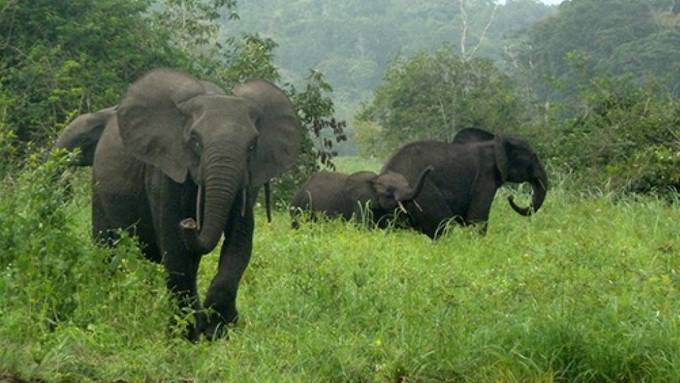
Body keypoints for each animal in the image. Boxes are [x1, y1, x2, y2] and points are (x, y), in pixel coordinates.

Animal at [54, 67, 304, 340]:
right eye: (195, 141)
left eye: (252, 146)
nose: (190, 223)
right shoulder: (165, 170)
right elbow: (175, 248)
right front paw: (188, 334)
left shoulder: (248, 181)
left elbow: (239, 241)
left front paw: (219, 329)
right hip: (100, 189)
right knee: (107, 248)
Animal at [290, 166, 432, 226]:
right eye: (389, 192)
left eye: (407, 184)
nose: (431, 168)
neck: (375, 179)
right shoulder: (359, 203)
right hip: (299, 209)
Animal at [382, 127, 548, 238]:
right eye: (533, 157)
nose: (511, 197)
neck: (494, 142)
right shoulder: (485, 177)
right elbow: (476, 218)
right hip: (423, 193)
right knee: (443, 226)